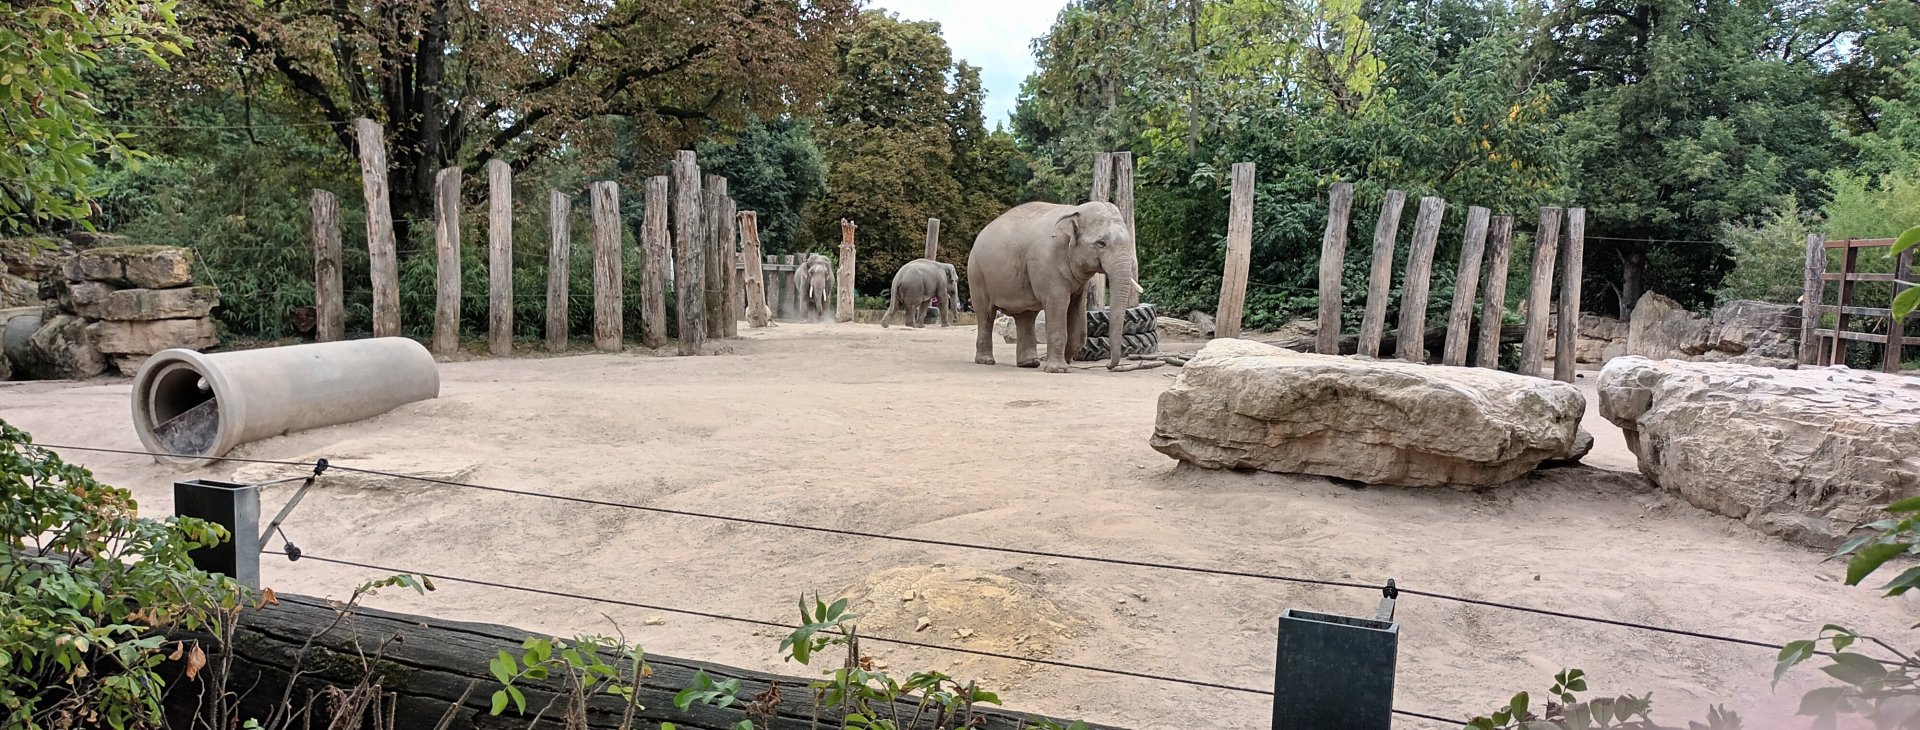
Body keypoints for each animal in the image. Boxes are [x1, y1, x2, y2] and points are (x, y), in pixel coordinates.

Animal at [968, 201, 1138, 373]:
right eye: (1101, 244)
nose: (1109, 366)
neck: (1075, 211)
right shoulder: (1047, 264)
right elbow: (1058, 303)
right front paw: (1058, 369)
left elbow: (1078, 313)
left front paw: (1066, 362)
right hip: (976, 273)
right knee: (986, 313)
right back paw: (986, 361)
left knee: (1025, 316)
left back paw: (1029, 363)